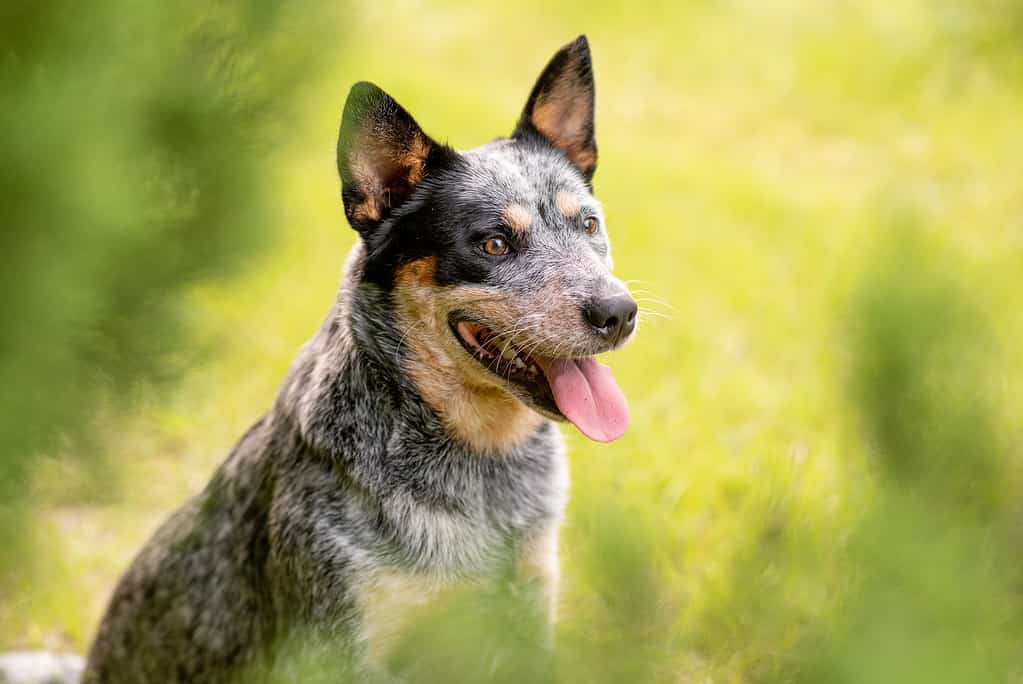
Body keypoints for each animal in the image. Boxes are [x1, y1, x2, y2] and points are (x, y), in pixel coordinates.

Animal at [83, 37, 634, 682]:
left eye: (589, 224)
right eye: (494, 243)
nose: (618, 312)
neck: (480, 471)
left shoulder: (527, 608)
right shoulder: (341, 642)